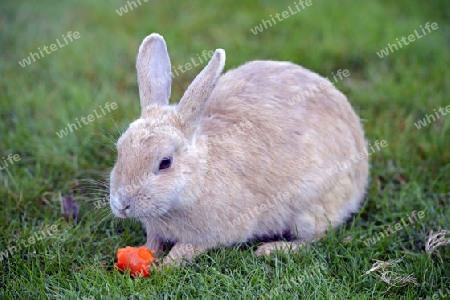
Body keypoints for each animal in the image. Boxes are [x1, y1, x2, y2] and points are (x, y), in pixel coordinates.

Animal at [109, 32, 370, 266]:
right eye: (120, 149)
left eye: (165, 162)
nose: (121, 205)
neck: (199, 176)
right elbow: (153, 242)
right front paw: (145, 254)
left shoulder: (211, 234)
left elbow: (184, 251)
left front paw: (165, 267)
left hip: (312, 208)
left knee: (317, 237)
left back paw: (271, 249)